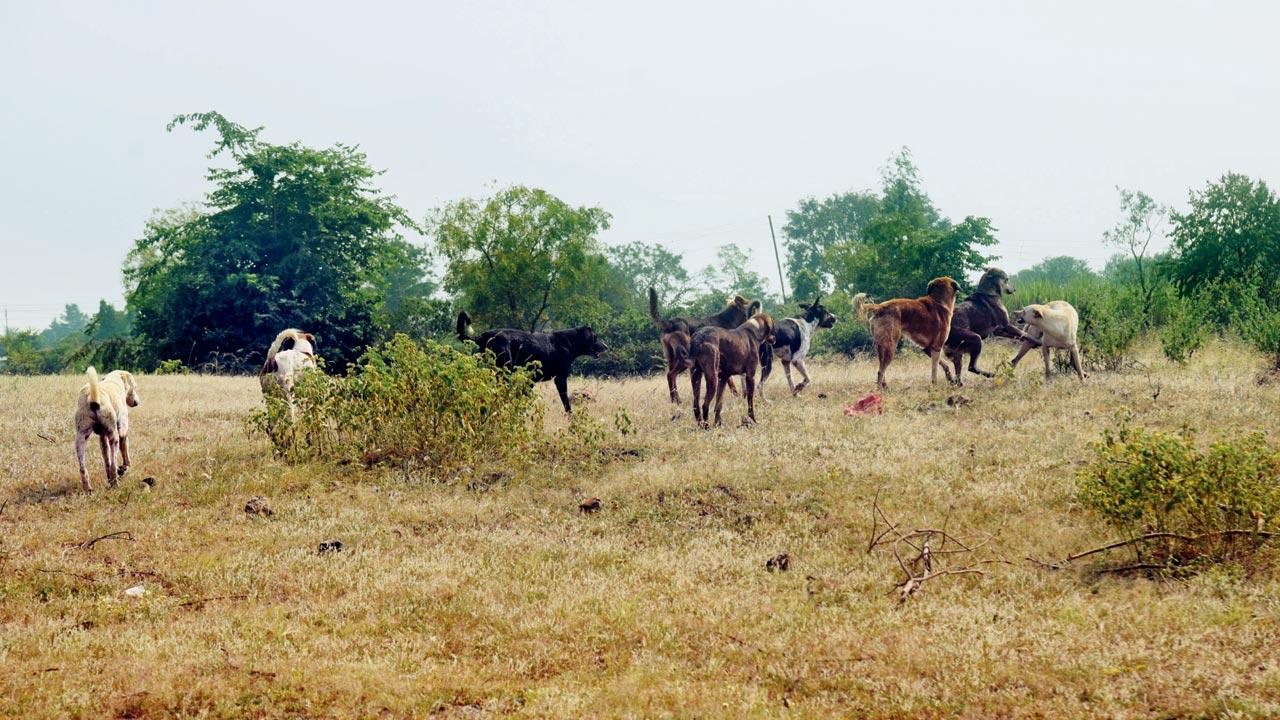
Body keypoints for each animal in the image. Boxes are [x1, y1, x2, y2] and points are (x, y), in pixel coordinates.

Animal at [455, 308, 604, 409]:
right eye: (595, 337)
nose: (606, 346)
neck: (569, 342)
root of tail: (483, 337)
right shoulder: (560, 379)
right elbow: (567, 404)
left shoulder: (530, 381)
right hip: (504, 373)